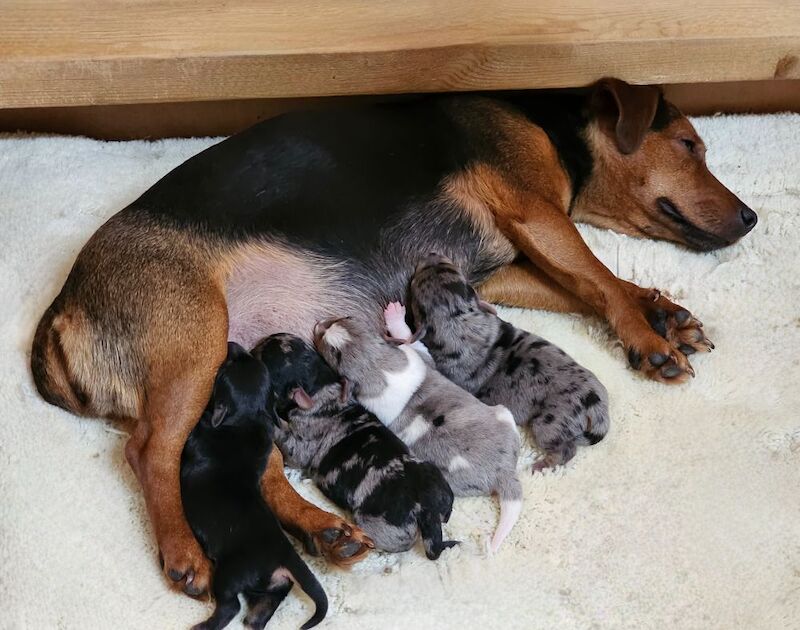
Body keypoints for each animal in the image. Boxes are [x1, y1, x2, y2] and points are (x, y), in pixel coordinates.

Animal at [181, 344, 328, 630]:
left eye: (225, 370)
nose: (233, 345)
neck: (246, 419)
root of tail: (285, 555)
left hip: (229, 574)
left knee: (230, 607)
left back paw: (204, 625)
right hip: (271, 584)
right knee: (270, 599)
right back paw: (254, 619)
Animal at [253, 336, 460, 564]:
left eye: (261, 357)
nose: (254, 345)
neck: (322, 387)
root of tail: (428, 510)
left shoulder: (299, 445)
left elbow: (283, 436)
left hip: (379, 527)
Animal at [312, 318, 524, 556]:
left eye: (332, 353)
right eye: (347, 319)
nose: (319, 325)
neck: (378, 367)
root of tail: (504, 471)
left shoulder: (418, 358)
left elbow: (415, 343)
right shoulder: (420, 359)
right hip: (503, 413)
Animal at [400, 254, 612, 472]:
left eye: (416, 282)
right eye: (450, 269)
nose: (432, 255)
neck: (458, 320)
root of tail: (597, 405)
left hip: (550, 422)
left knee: (566, 450)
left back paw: (541, 465)